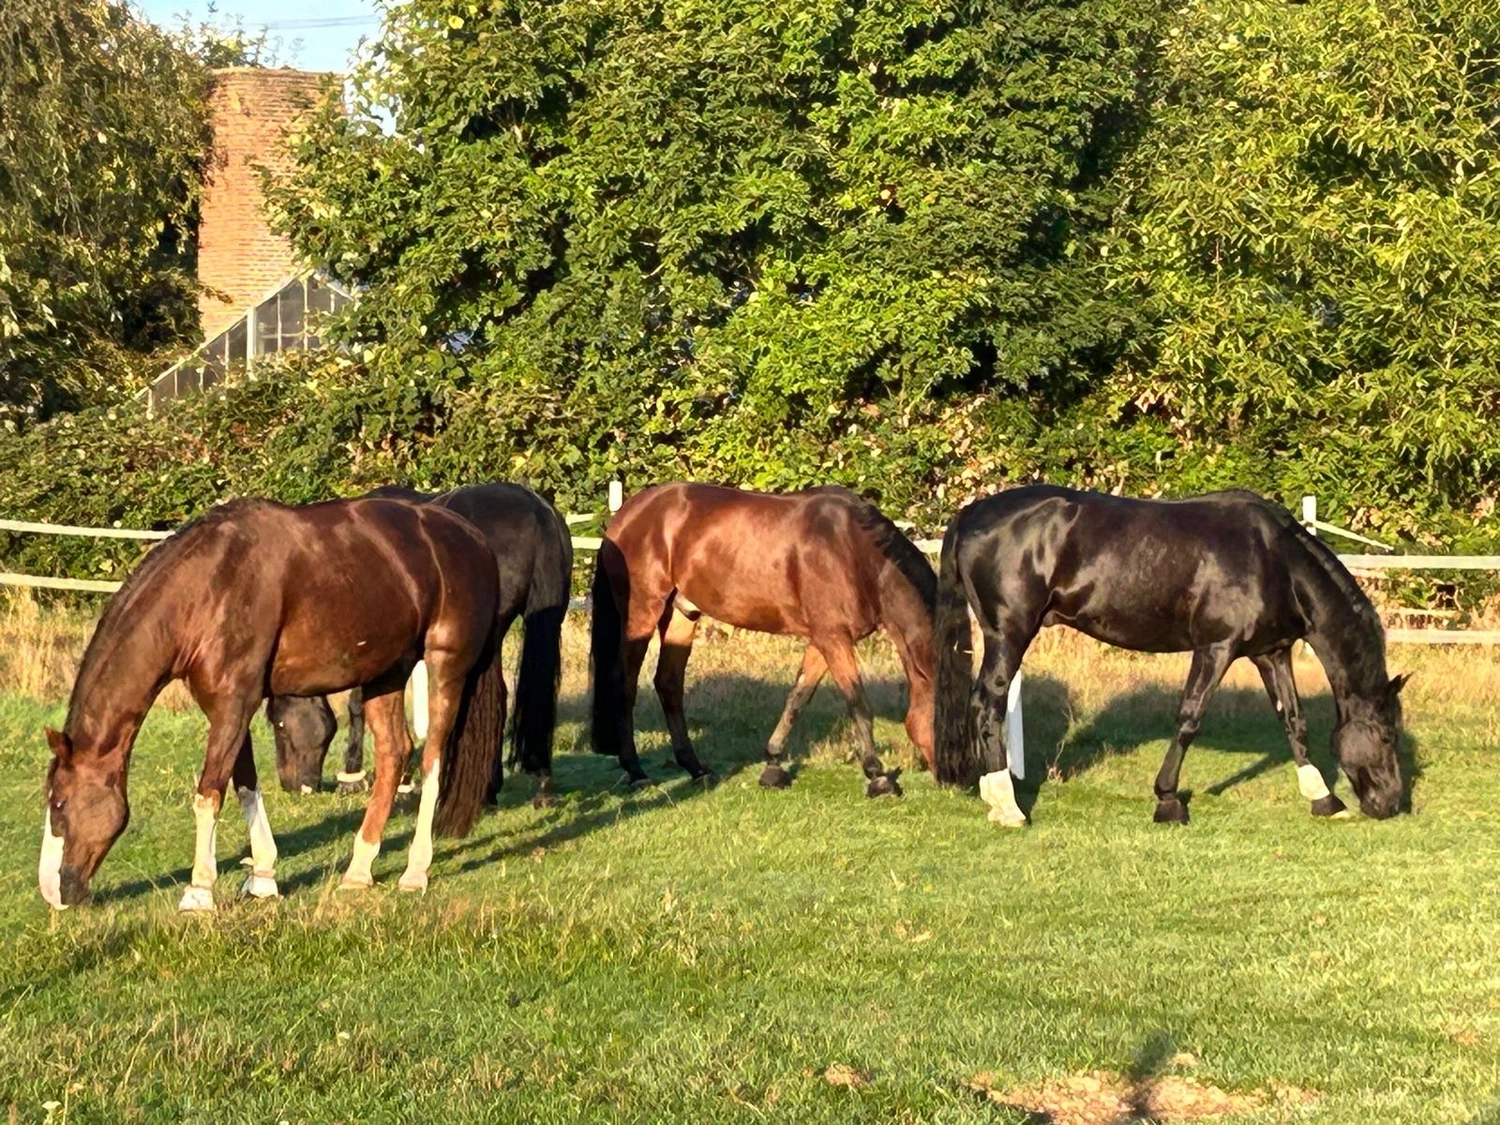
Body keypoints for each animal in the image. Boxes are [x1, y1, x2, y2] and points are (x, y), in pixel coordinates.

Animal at [39, 497, 505, 911]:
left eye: (59, 802)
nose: (53, 892)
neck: (209, 588)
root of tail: (474, 538)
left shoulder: (233, 703)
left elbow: (208, 793)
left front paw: (199, 891)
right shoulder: (228, 705)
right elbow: (244, 784)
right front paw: (262, 877)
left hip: (445, 665)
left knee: (431, 760)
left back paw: (415, 872)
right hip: (385, 672)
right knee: (394, 754)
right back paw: (358, 870)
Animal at [590, 483, 936, 797]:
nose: (952, 782)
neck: (853, 552)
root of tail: (625, 514)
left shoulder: (824, 639)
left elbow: (798, 697)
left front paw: (773, 766)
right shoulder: (834, 638)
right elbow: (857, 703)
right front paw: (878, 777)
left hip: (681, 615)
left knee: (669, 684)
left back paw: (696, 769)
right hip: (642, 612)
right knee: (626, 685)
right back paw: (637, 772)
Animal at [932, 485, 1407, 826]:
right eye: (1387, 736)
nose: (1390, 804)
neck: (1274, 559)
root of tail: (972, 513)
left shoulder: (1271, 653)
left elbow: (1294, 721)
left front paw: (1324, 799)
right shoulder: (1216, 648)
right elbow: (1189, 719)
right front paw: (1168, 802)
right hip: (1008, 635)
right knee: (987, 704)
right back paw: (1006, 805)